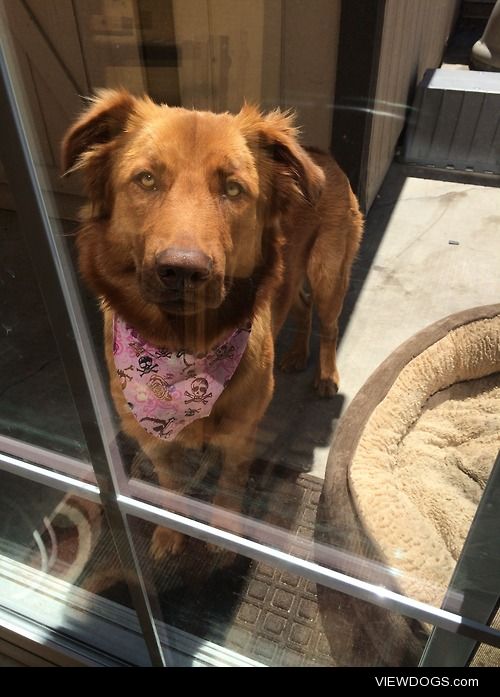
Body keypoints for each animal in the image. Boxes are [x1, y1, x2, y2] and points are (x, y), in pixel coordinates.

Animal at [62, 89, 362, 556]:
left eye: (233, 188)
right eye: (146, 179)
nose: (182, 271)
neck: (179, 347)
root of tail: (320, 154)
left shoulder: (241, 434)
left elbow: (229, 485)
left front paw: (222, 531)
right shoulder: (153, 440)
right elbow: (170, 488)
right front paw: (170, 532)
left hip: (329, 273)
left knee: (327, 324)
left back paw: (325, 374)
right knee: (300, 305)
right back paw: (295, 355)